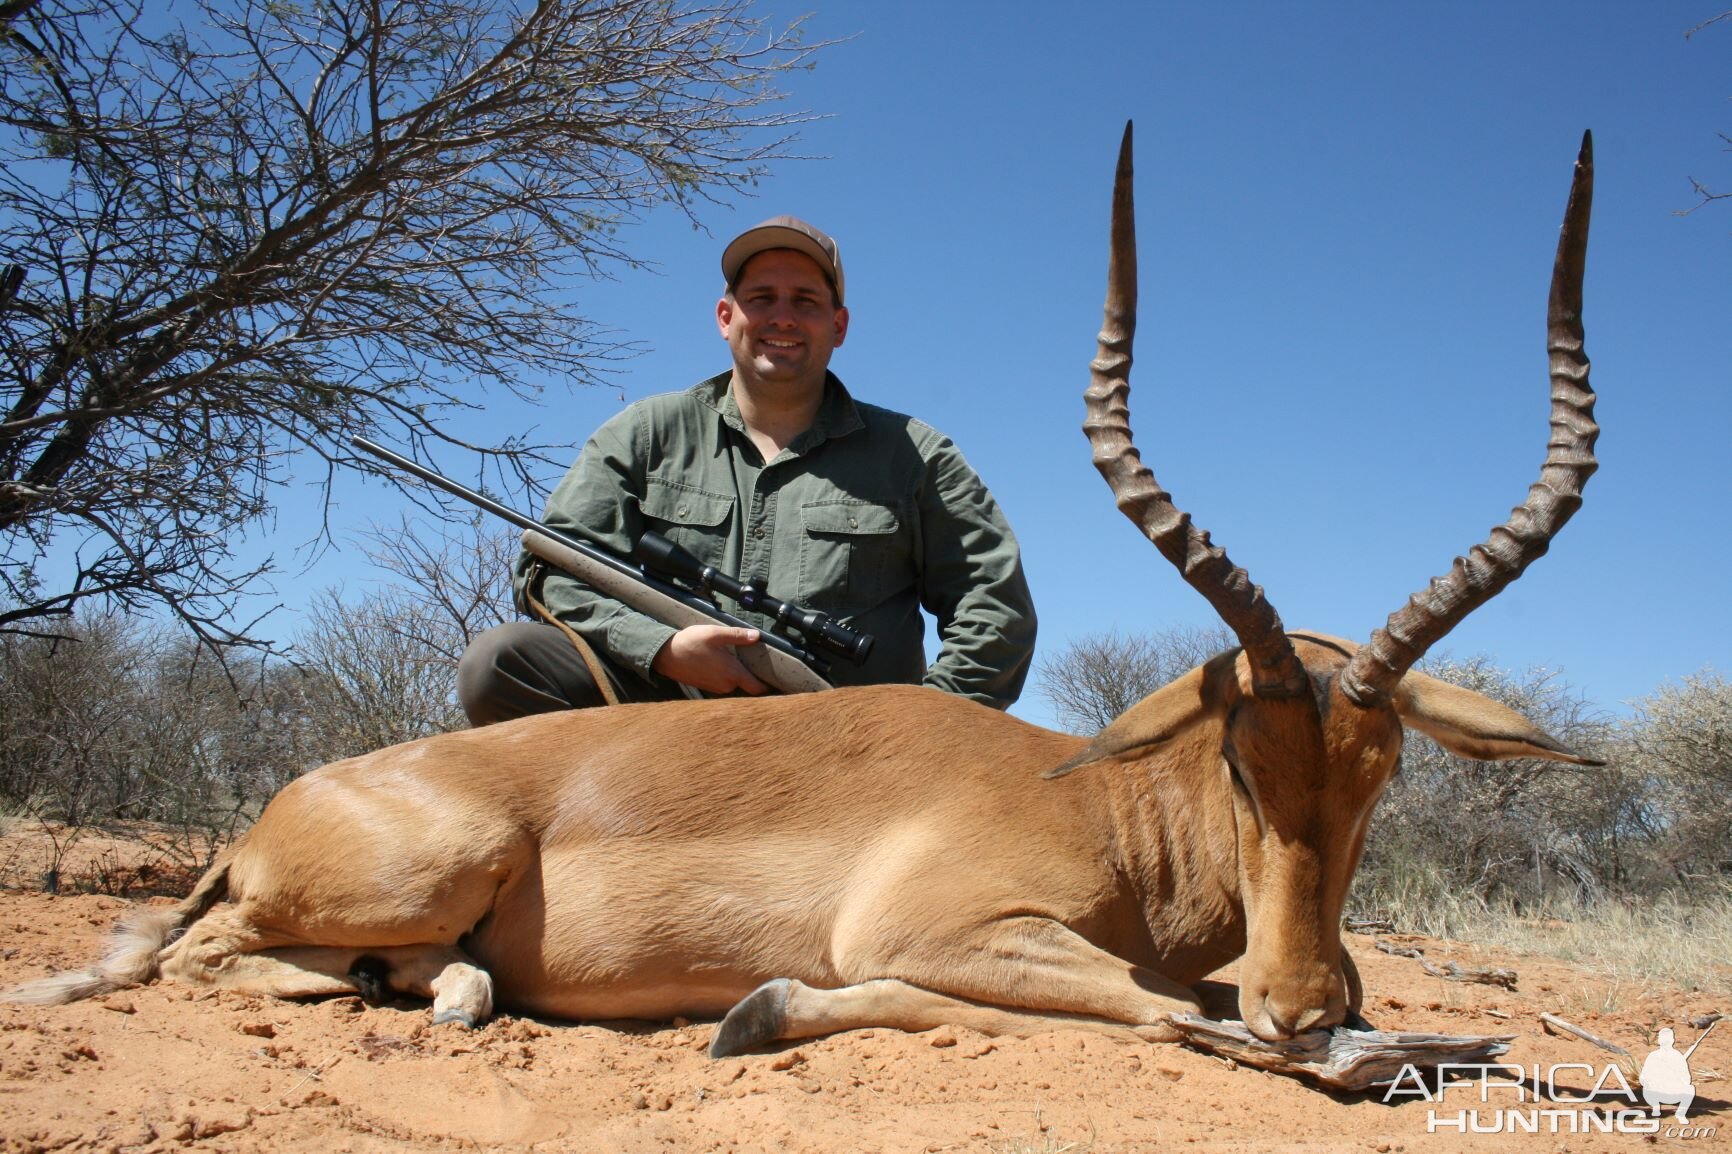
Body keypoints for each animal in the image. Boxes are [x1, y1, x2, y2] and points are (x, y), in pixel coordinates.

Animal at [6, 125, 1600, 1053]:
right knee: (199, 956)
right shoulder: (940, 930)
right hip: (412, 869)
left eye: (1379, 772)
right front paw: (755, 1011)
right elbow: (1159, 1006)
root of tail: (282, 805)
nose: (1305, 1001)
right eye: (1244, 765)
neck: (1106, 805)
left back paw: (452, 988)